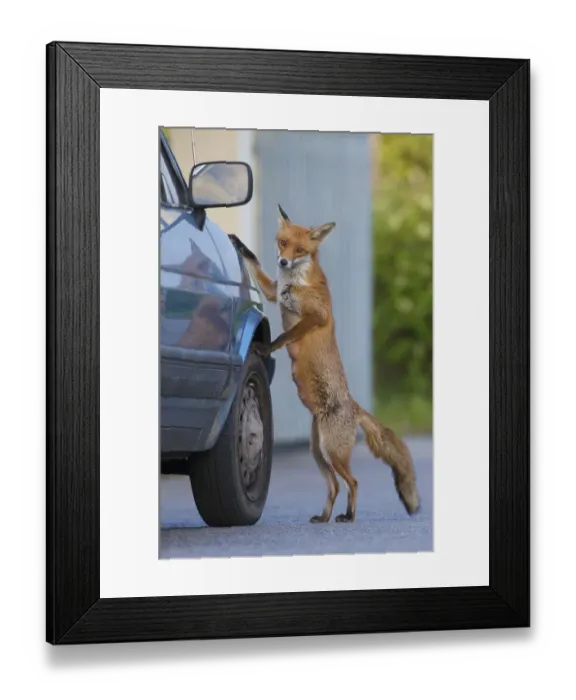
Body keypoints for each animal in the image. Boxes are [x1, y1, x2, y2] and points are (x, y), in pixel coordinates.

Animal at [228, 204, 420, 523]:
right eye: (283, 243)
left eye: (300, 250)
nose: (283, 261)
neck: (294, 282)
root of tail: (354, 405)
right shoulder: (273, 292)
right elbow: (255, 262)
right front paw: (238, 244)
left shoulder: (316, 316)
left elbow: (283, 336)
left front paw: (266, 346)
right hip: (318, 452)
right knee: (334, 486)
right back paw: (324, 516)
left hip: (332, 451)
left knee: (353, 482)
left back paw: (349, 516)